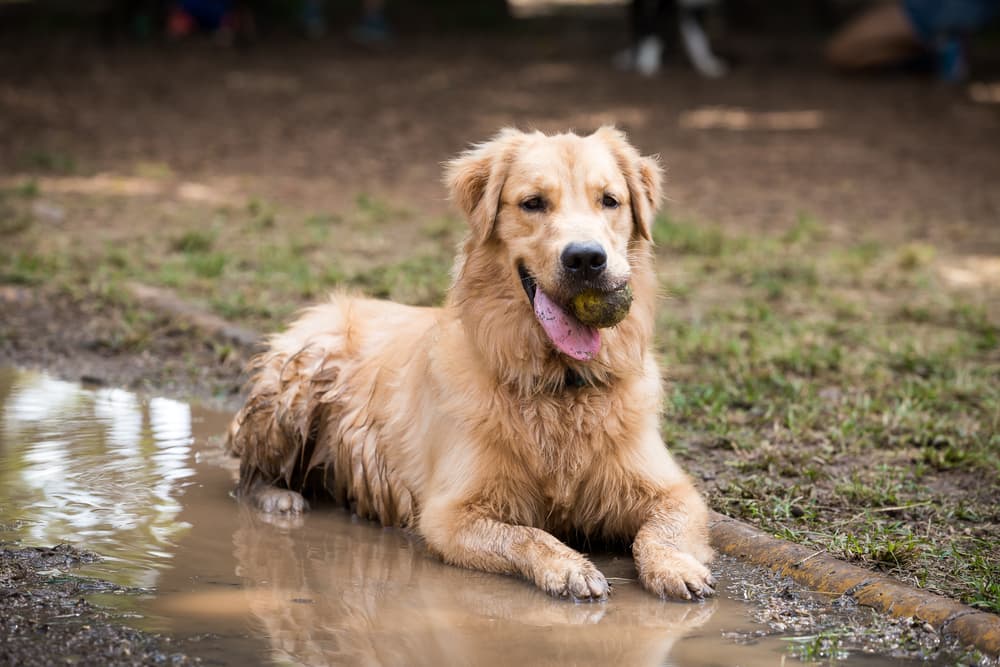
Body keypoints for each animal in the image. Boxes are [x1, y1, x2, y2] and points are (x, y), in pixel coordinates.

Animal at [227, 128, 716, 604]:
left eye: (610, 200)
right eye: (533, 202)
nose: (585, 258)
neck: (559, 383)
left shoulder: (674, 491)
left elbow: (662, 530)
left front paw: (676, 568)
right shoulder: (450, 513)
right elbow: (528, 535)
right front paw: (569, 567)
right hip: (298, 381)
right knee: (246, 472)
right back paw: (279, 498)